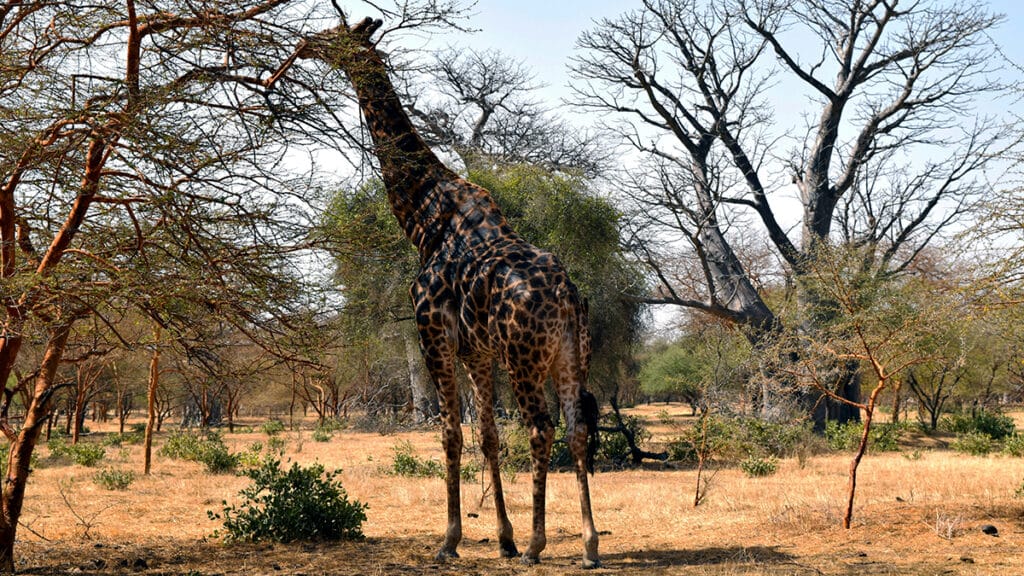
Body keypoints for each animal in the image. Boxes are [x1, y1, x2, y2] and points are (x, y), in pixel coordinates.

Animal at [296, 13, 598, 565]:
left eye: (335, 34)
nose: (304, 43)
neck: (422, 217)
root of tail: (567, 299)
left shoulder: (432, 334)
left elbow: (450, 433)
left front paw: (451, 539)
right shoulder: (476, 349)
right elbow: (489, 435)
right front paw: (502, 538)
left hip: (524, 357)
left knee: (541, 428)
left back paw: (538, 545)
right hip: (571, 354)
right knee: (577, 428)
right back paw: (588, 545)